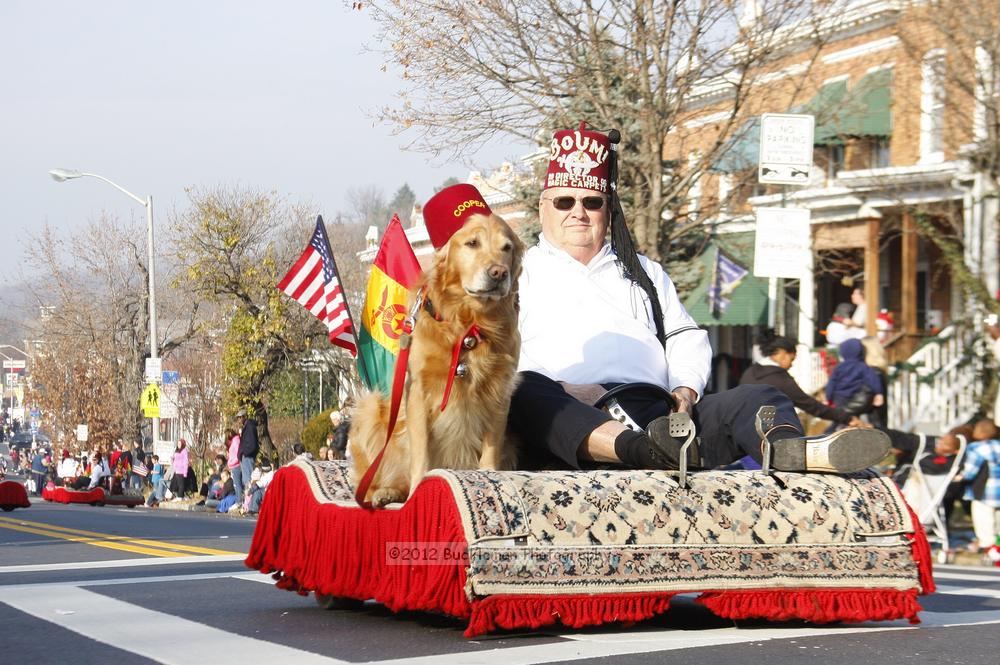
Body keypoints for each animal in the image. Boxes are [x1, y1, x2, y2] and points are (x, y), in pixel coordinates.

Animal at [348, 215, 524, 506]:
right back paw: (384, 492)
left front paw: (489, 477)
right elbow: (421, 454)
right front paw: (418, 492)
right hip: (370, 409)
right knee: (378, 481)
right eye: (472, 243)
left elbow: (490, 449)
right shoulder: (419, 392)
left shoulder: (500, 391)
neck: (469, 324)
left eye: (507, 248)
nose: (499, 273)